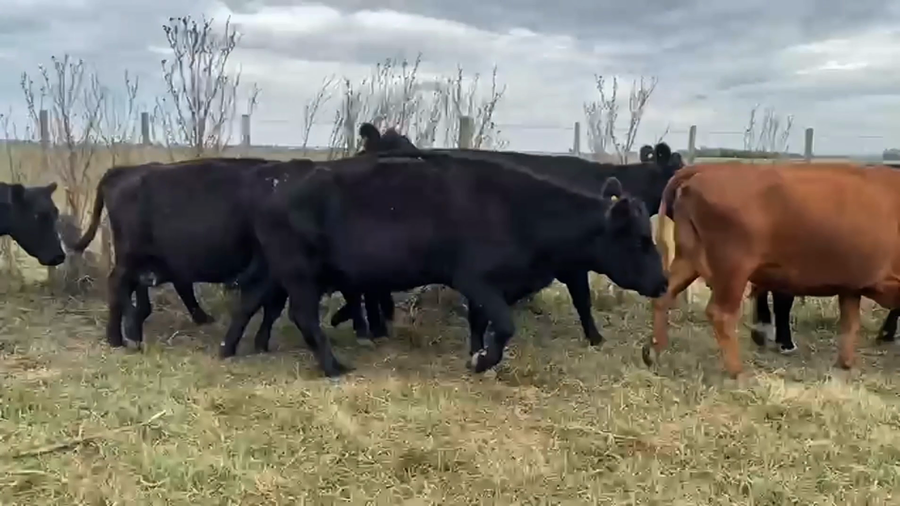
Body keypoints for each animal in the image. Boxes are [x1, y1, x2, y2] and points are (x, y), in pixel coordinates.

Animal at [66, 158, 386, 353]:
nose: (370, 330)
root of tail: (125, 171)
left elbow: (269, 308)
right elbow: (268, 306)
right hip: (130, 256)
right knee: (118, 285)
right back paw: (118, 337)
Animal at [229, 151, 669, 377]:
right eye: (640, 241)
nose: (663, 282)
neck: (520, 211)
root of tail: (273, 176)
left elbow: (480, 323)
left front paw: (477, 354)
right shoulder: (475, 280)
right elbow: (503, 325)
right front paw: (481, 361)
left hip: (275, 270)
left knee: (250, 300)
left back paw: (228, 349)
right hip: (300, 272)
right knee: (303, 315)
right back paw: (334, 367)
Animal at [645, 161, 900, 379]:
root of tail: (706, 169)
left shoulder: (850, 286)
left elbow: (850, 324)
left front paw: (847, 364)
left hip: (689, 259)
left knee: (663, 297)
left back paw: (654, 351)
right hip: (733, 269)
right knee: (721, 314)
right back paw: (739, 373)